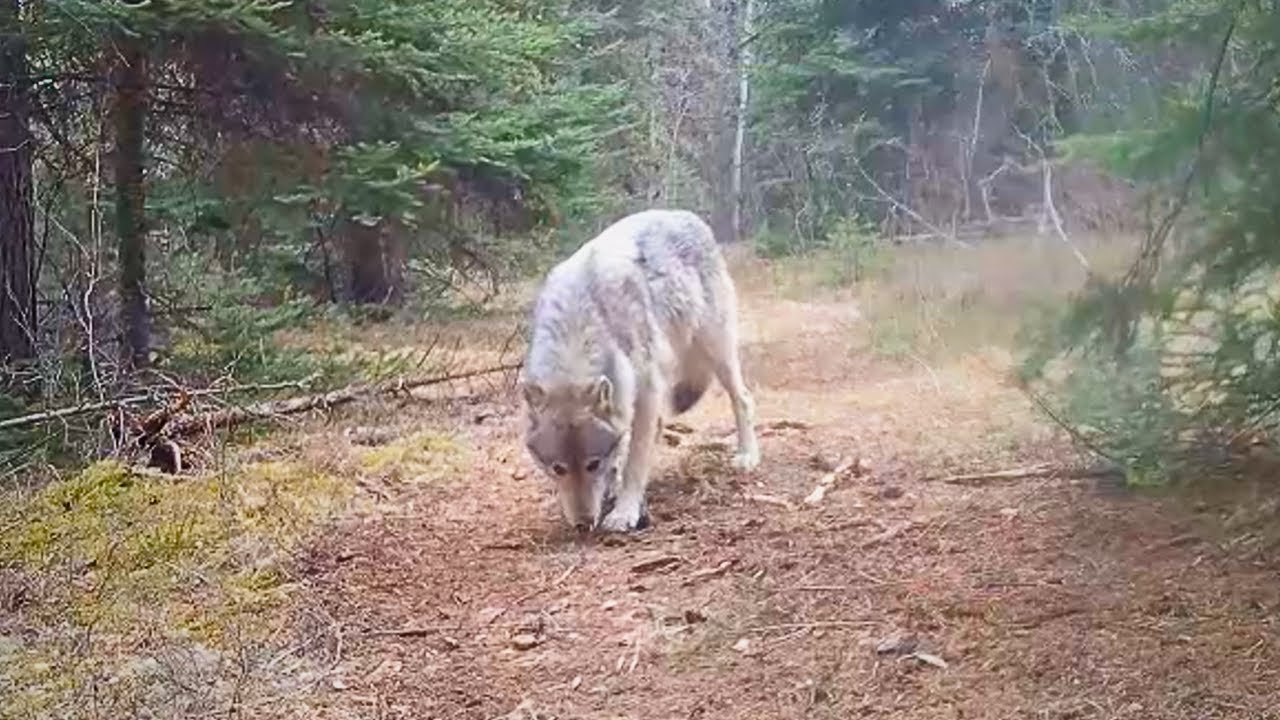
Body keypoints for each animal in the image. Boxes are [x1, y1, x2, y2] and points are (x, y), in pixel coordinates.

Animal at [520, 209, 761, 533]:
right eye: (558, 469)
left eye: (592, 464)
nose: (583, 524)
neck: (576, 332)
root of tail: (688, 216)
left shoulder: (646, 395)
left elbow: (635, 460)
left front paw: (624, 511)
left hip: (716, 351)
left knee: (743, 398)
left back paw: (748, 456)